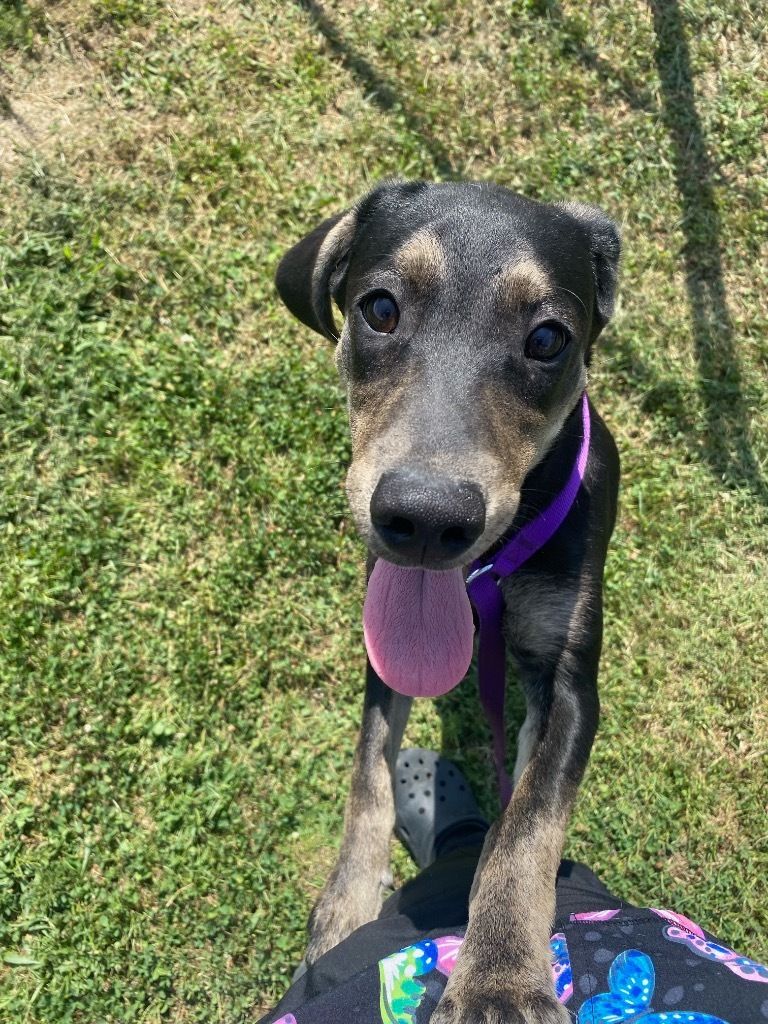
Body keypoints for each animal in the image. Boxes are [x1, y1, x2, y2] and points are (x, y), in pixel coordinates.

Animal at [274, 184, 622, 1024]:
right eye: (379, 308)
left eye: (548, 338)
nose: (428, 520)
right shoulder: (383, 645)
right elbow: (368, 774)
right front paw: (342, 916)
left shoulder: (572, 682)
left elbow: (527, 825)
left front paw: (500, 979)